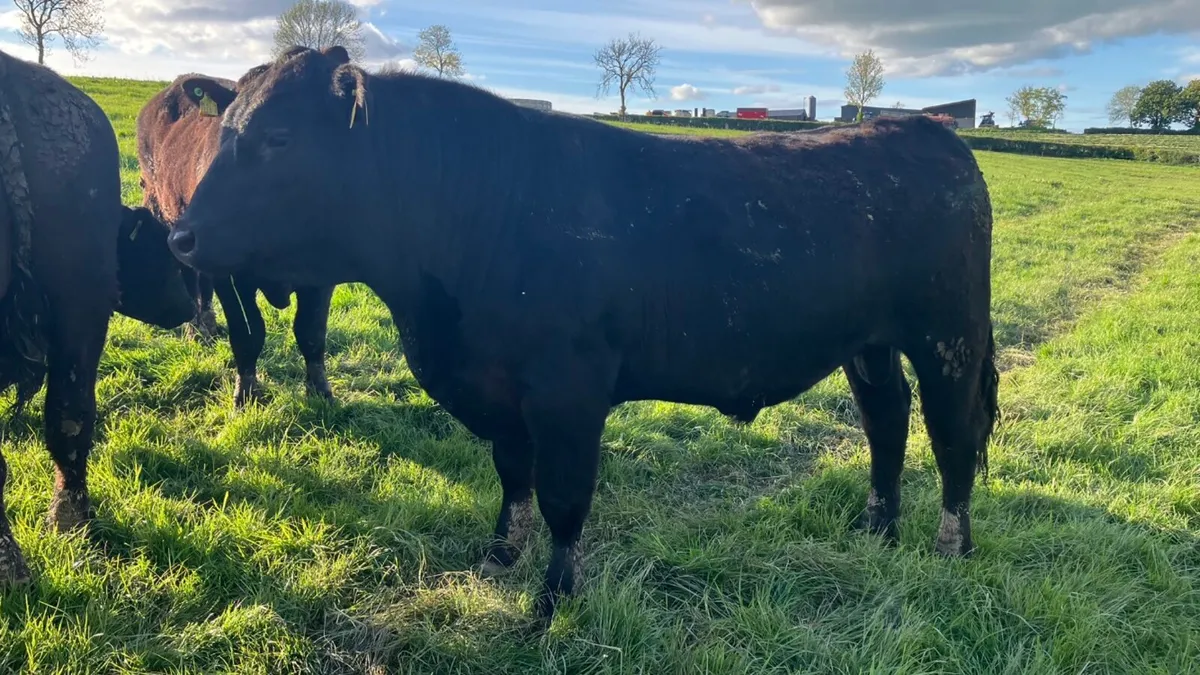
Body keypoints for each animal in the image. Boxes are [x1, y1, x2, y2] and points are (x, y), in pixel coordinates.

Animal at [135, 46, 340, 407]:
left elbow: (311, 332)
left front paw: (321, 391)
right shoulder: (228, 275)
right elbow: (248, 334)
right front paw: (245, 393)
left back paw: (208, 324)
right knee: (189, 277)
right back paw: (195, 329)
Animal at [167, 49, 1000, 622]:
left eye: (278, 138)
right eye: (227, 128)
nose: (182, 235)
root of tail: (924, 130)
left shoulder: (569, 391)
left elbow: (565, 496)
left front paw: (553, 599)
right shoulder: (497, 389)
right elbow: (514, 477)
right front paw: (499, 557)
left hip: (949, 334)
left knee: (951, 433)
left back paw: (949, 546)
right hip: (870, 341)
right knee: (886, 420)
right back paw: (876, 528)